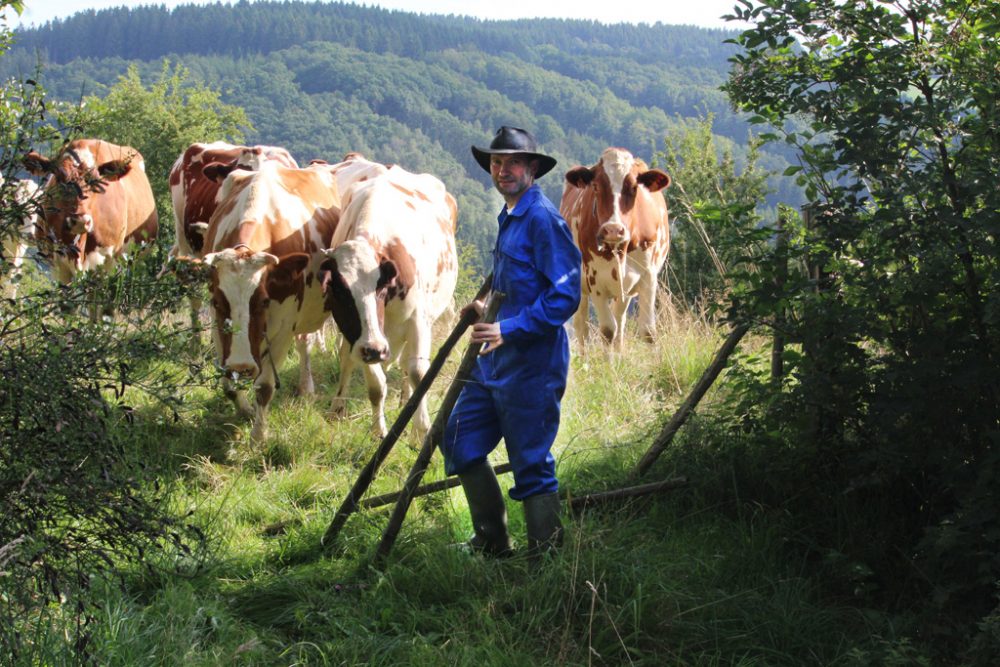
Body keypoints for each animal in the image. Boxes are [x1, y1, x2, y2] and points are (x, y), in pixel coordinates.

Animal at [23, 138, 158, 318]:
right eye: (59, 177)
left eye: (95, 180)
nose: (80, 221)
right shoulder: (58, 265)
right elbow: (67, 307)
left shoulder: (107, 262)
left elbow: (98, 304)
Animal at [195, 160, 344, 444]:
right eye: (218, 302)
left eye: (263, 302)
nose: (242, 365)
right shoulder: (218, 326)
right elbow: (227, 383)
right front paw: (244, 410)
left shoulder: (285, 324)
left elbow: (264, 387)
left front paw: (258, 436)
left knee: (305, 344)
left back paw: (306, 387)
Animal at [318, 160, 458, 444]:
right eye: (340, 292)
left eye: (380, 288)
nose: (375, 349)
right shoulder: (361, 338)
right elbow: (375, 384)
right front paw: (378, 430)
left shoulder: (418, 320)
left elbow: (418, 373)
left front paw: (420, 432)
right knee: (348, 360)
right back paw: (338, 407)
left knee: (407, 367)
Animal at [564, 148, 672, 352]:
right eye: (596, 186)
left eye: (634, 187)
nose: (613, 229)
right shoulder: (595, 279)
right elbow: (607, 331)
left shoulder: (648, 276)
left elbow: (648, 331)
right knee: (582, 327)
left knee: (620, 320)